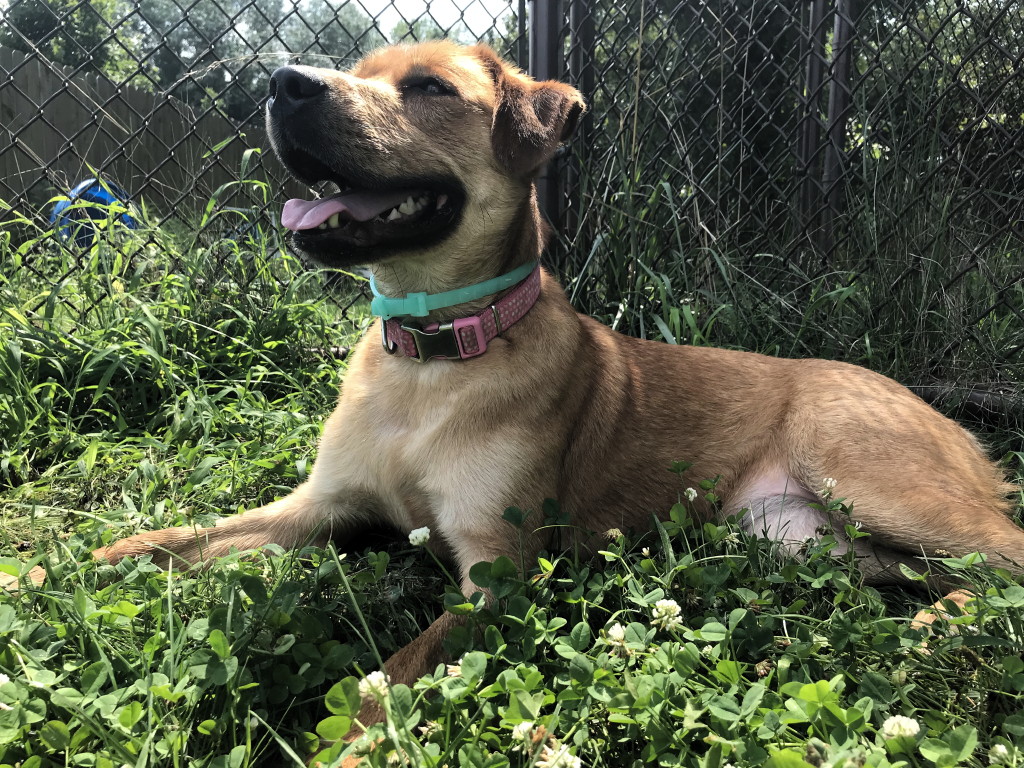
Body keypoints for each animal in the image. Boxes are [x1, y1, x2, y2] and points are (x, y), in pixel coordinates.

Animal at [9, 41, 1024, 741]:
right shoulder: (315, 507)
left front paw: (348, 743)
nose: (280, 82)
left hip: (866, 473)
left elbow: (391, 675)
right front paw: (35, 573)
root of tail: (956, 426)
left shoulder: (495, 576)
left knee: (1003, 557)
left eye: (429, 89)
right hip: (800, 540)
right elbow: (150, 544)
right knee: (952, 575)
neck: (426, 362)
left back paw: (930, 636)